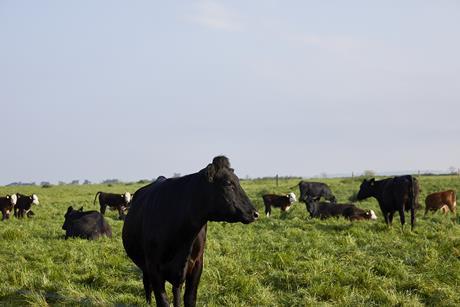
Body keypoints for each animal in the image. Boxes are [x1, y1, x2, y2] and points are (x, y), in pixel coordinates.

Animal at [122, 158, 258, 306]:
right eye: (228, 183)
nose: (255, 213)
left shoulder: (197, 265)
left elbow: (190, 298)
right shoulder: (154, 267)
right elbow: (162, 300)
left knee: (176, 290)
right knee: (147, 285)